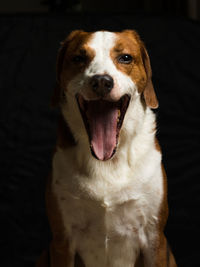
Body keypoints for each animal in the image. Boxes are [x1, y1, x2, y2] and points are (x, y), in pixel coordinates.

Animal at [36, 29, 177, 267]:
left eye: (126, 58)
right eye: (78, 58)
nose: (102, 82)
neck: (109, 161)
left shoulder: (154, 239)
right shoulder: (62, 241)